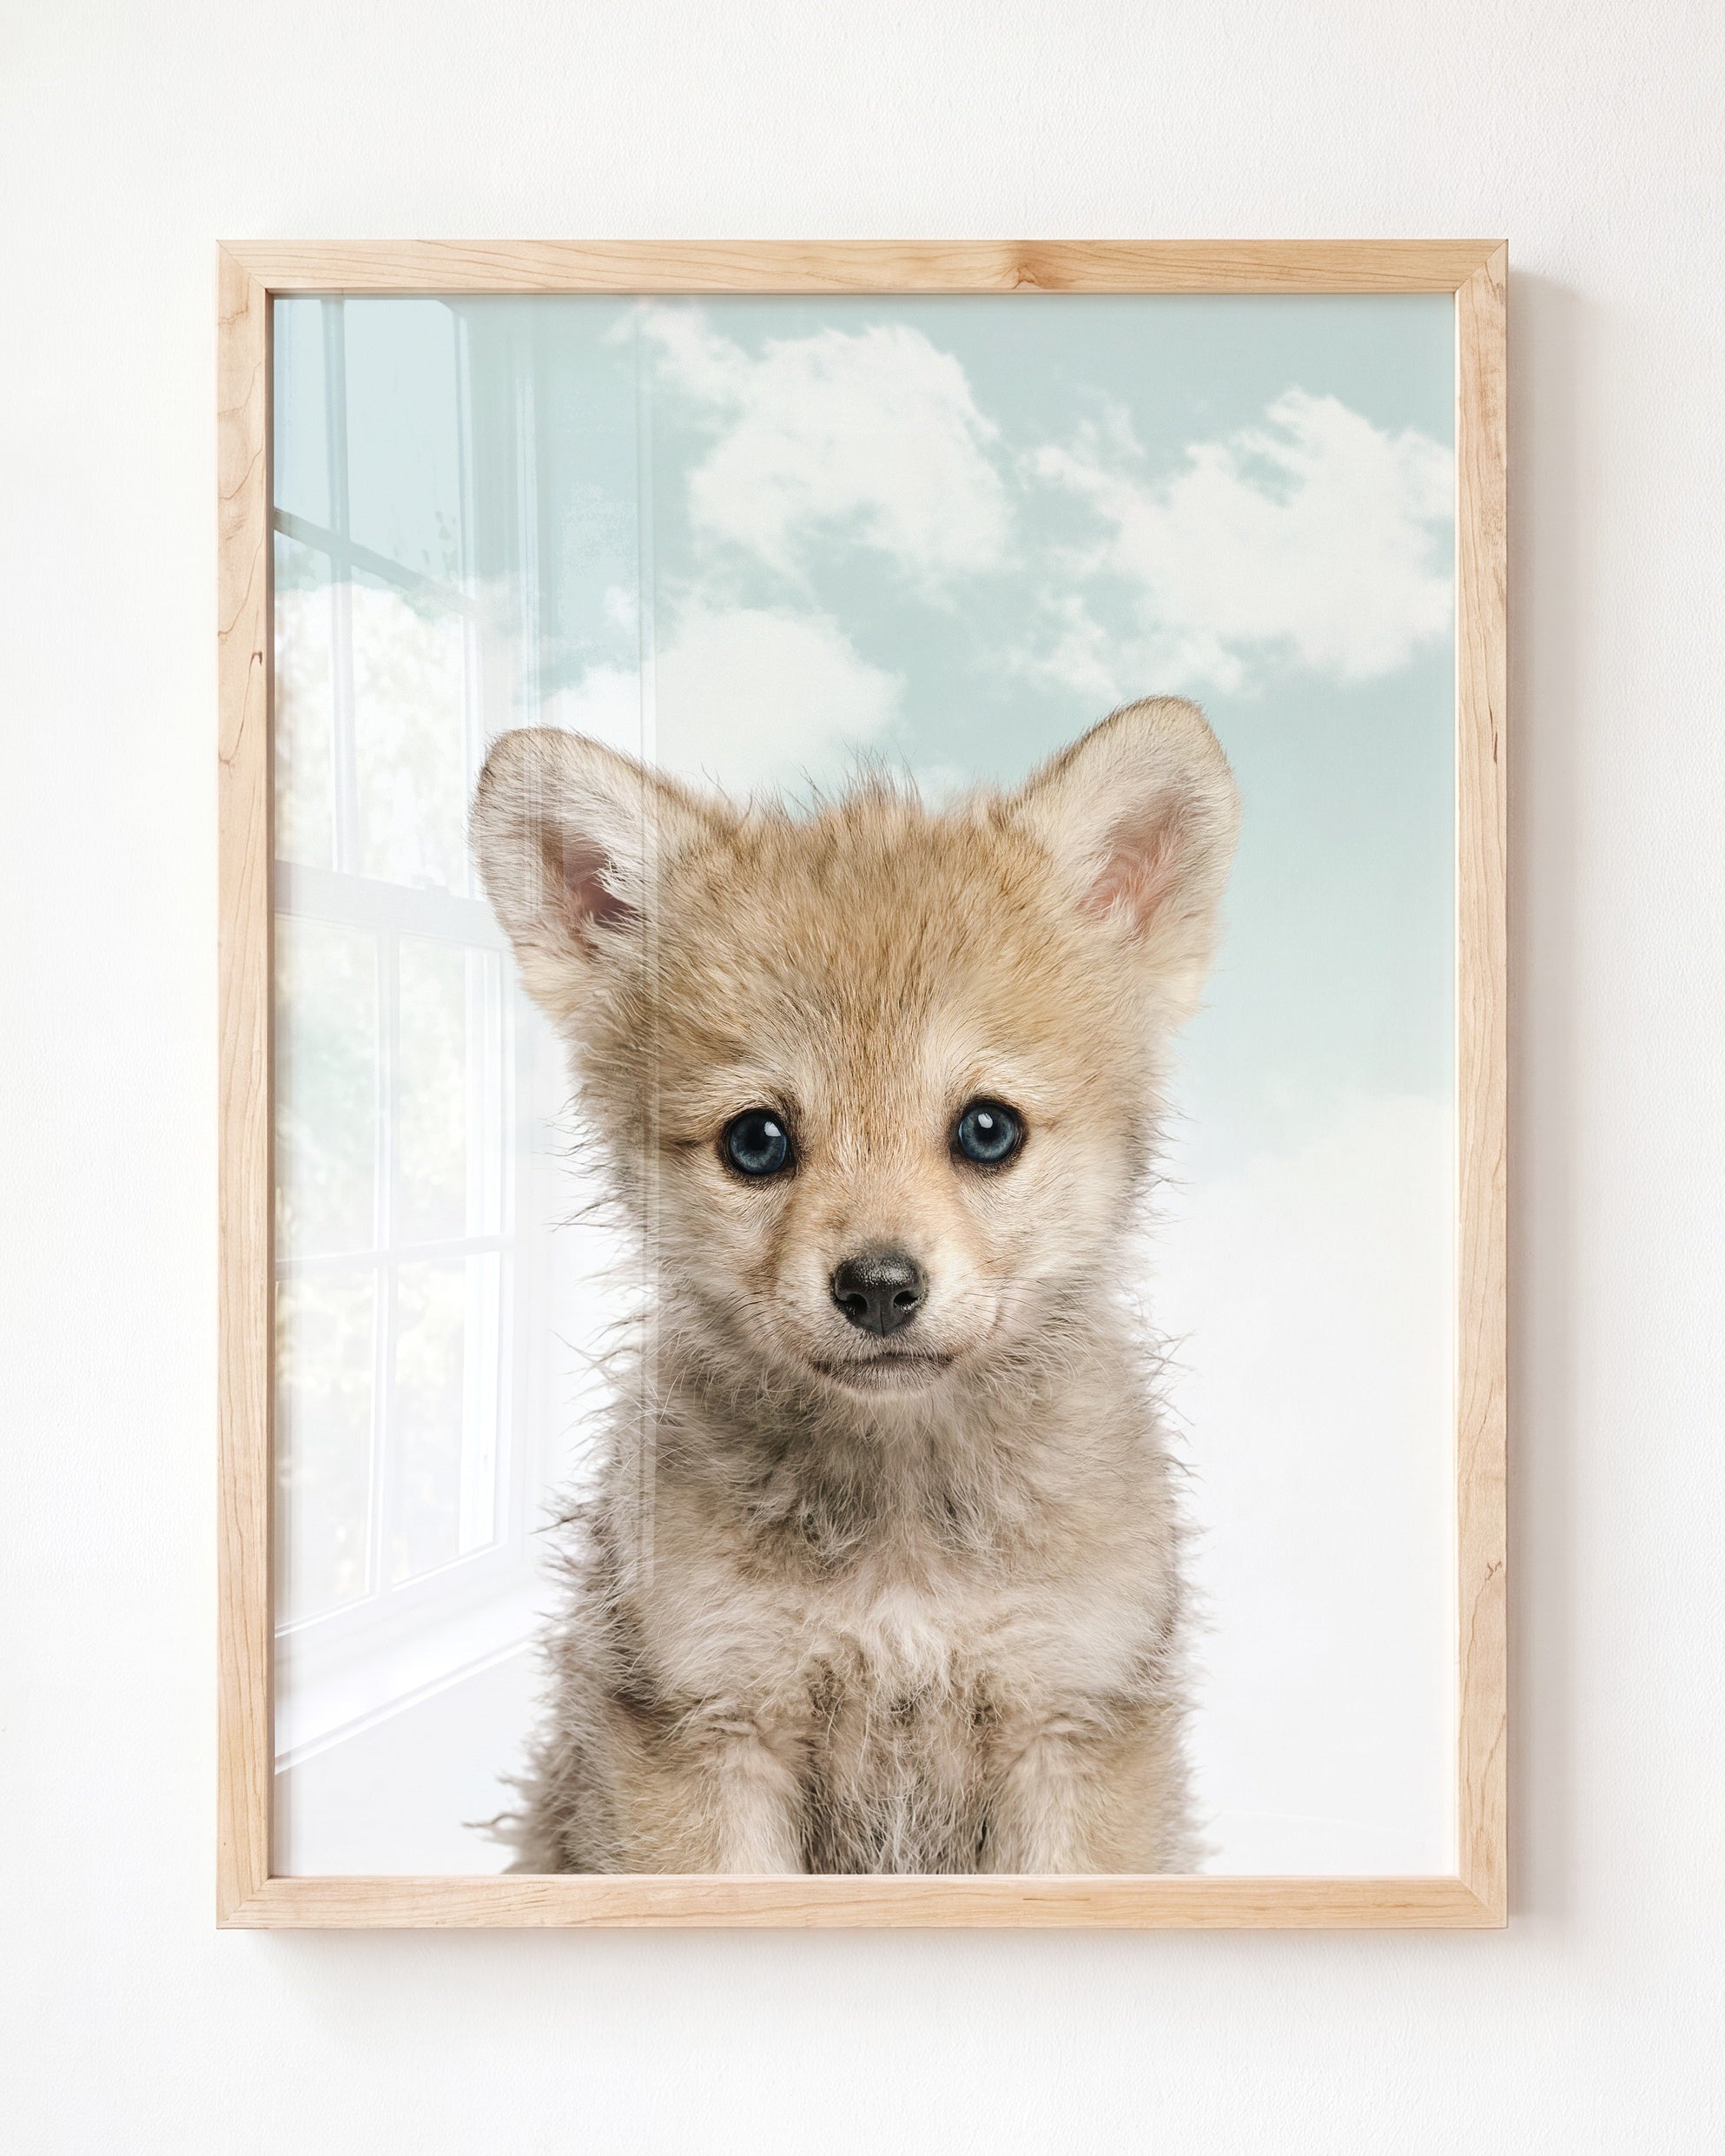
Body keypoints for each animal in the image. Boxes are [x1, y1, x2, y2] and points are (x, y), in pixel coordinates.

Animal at [470, 697, 1239, 1873]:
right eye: (756, 1141)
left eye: (988, 1129)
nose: (879, 1287)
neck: (902, 1540)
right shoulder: (708, 1726)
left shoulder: (1071, 1722)